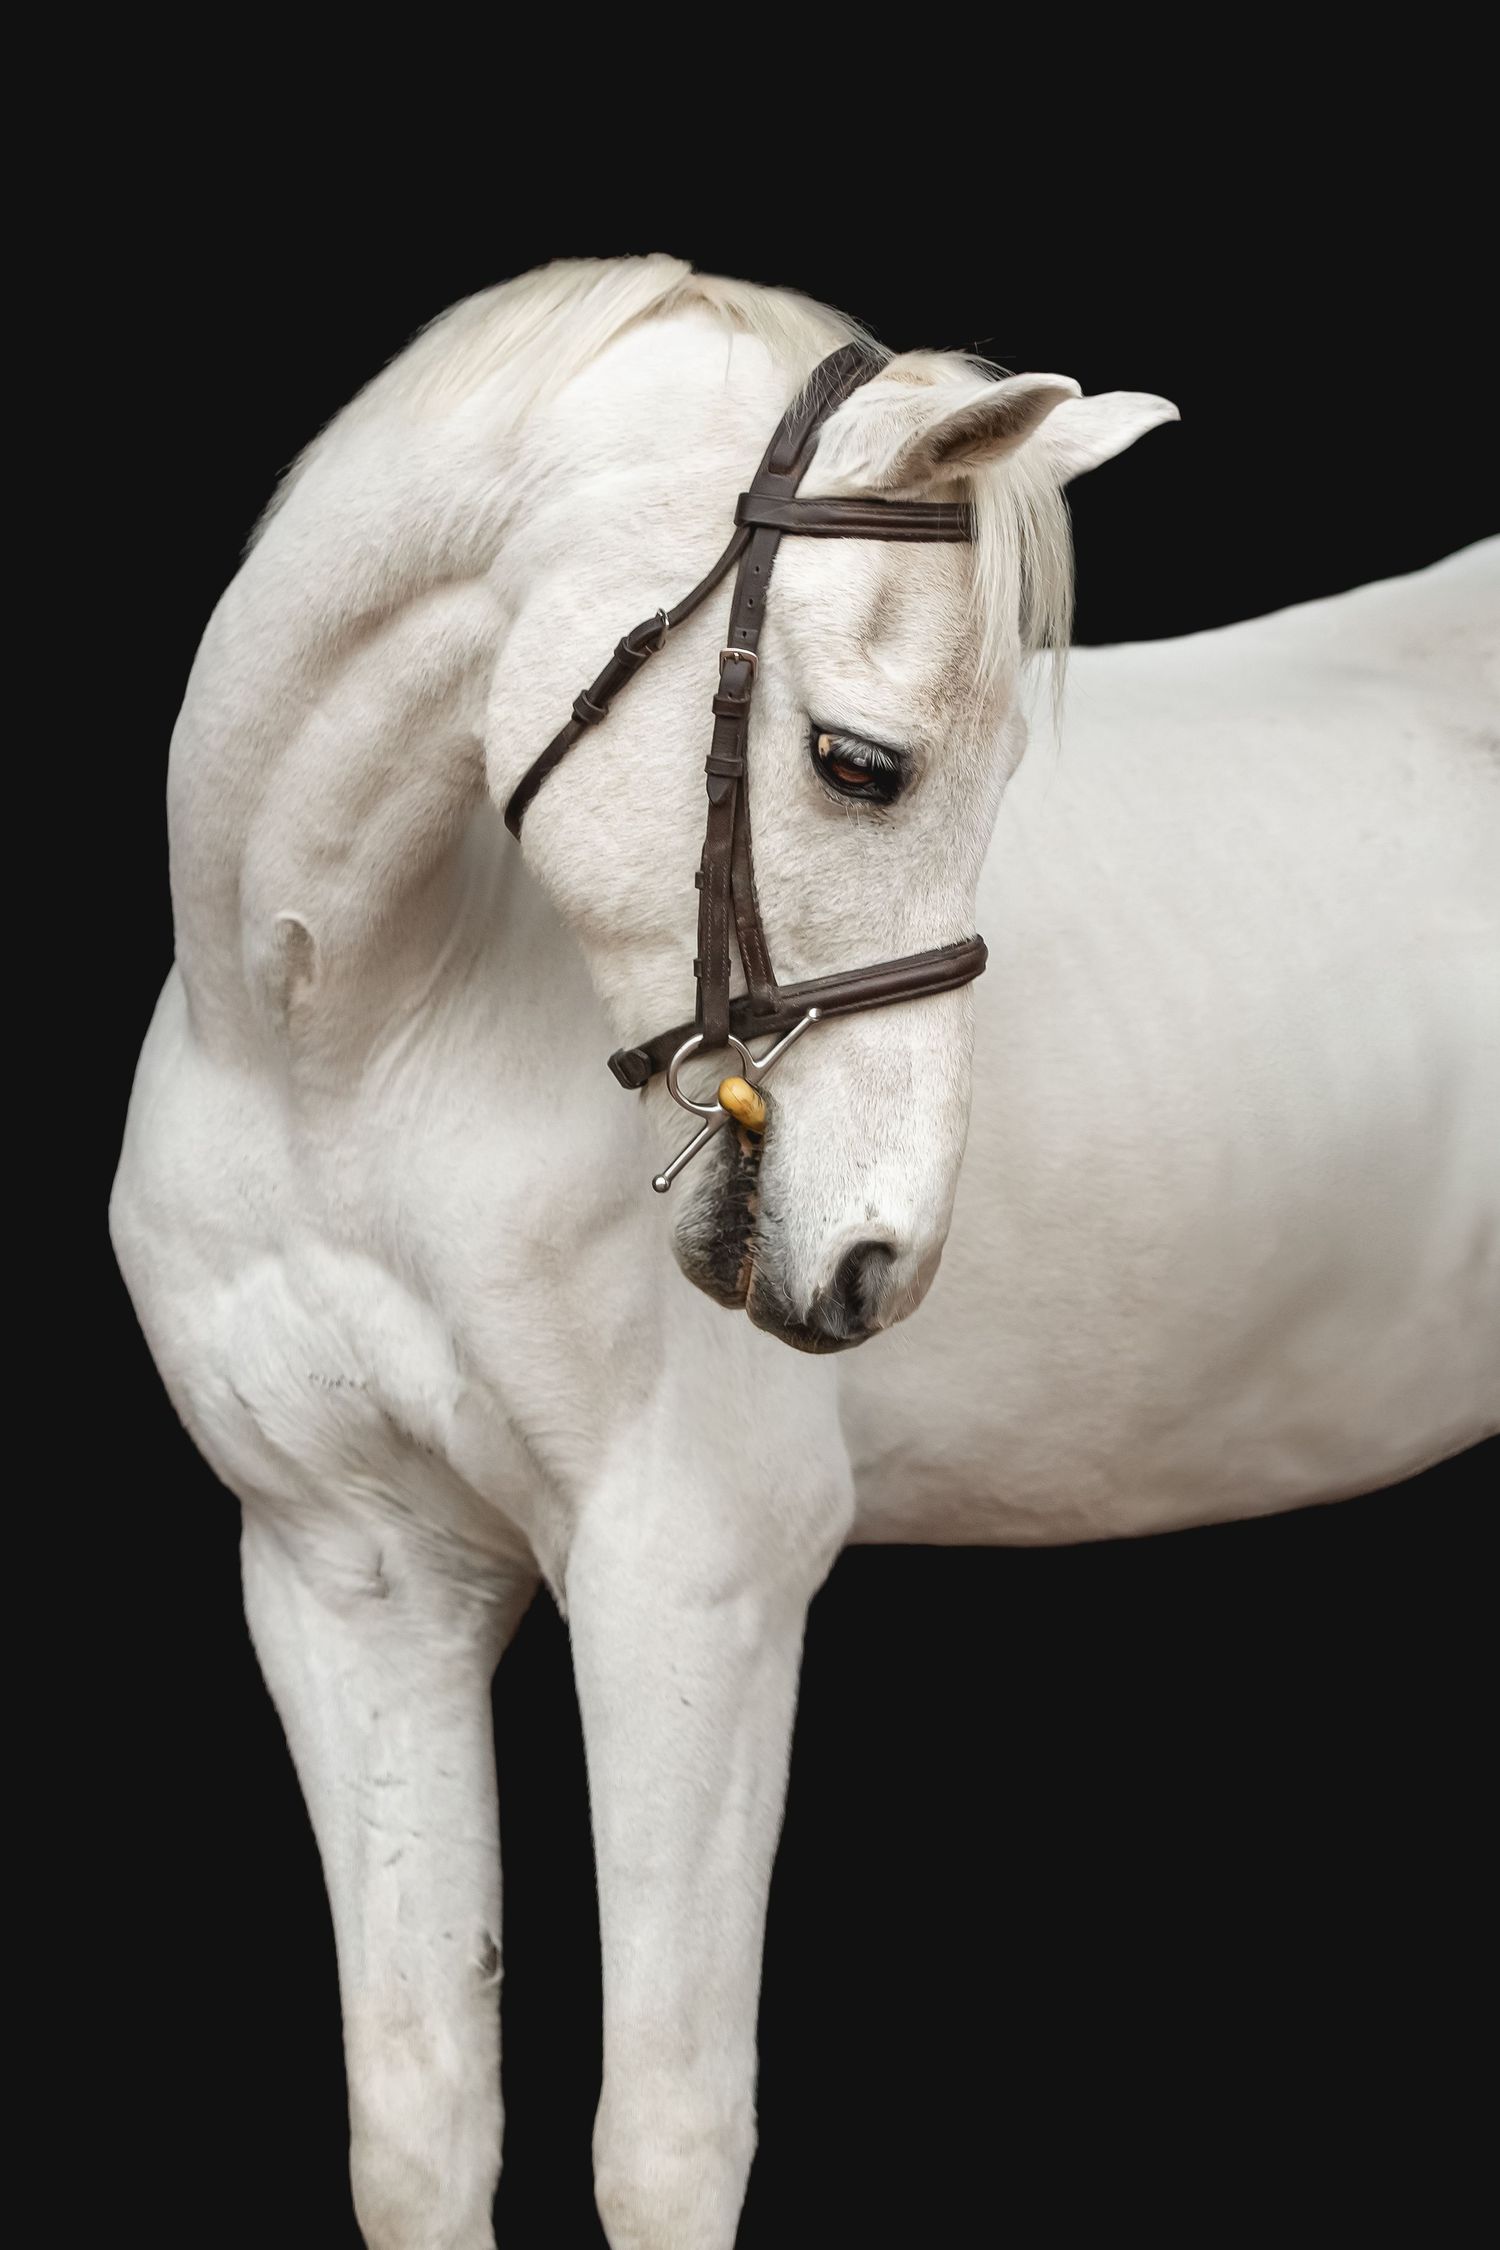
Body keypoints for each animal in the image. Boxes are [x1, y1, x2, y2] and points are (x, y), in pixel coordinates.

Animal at [110, 254, 1500, 2250]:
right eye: (860, 765)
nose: (878, 1255)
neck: (338, 1049)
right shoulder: (348, 1580)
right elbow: (422, 2122)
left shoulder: (691, 1587)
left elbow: (666, 2140)